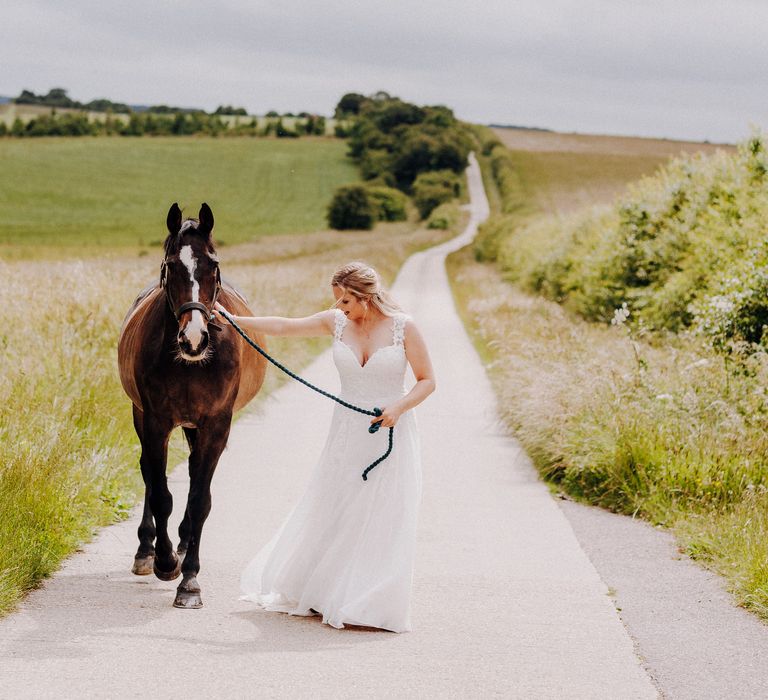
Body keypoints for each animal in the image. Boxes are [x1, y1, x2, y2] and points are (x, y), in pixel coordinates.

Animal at [117, 201, 268, 608]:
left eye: (212, 265)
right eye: (171, 266)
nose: (194, 339)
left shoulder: (216, 425)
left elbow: (200, 499)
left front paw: (190, 581)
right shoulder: (155, 421)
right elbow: (160, 494)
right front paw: (165, 562)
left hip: (194, 426)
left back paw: (184, 543)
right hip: (146, 418)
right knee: (150, 475)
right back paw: (147, 550)